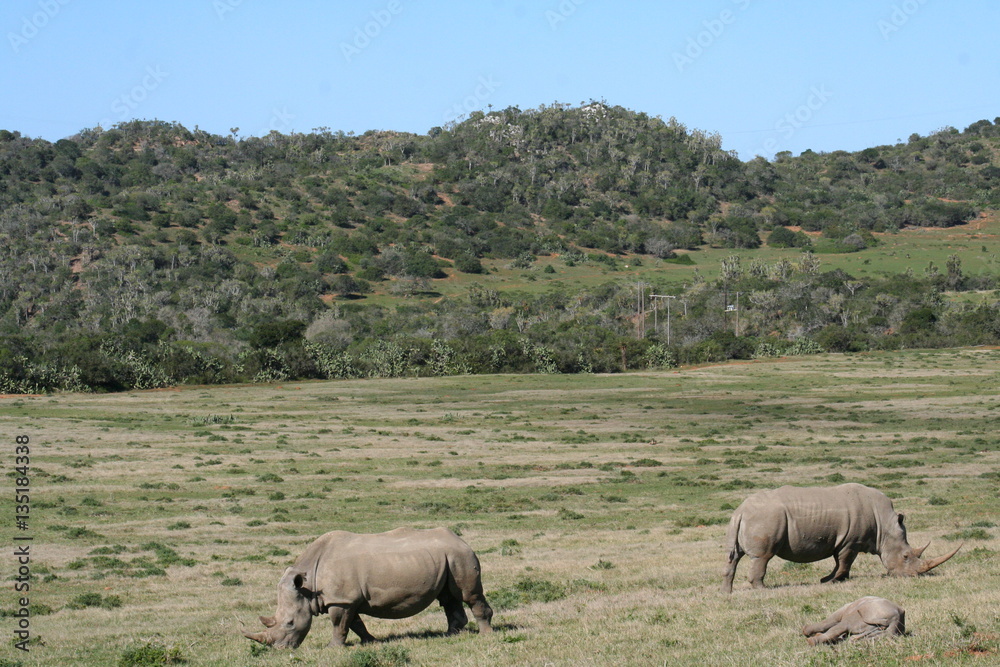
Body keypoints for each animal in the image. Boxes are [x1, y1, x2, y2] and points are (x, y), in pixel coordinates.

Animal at [243, 527, 494, 648]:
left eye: (290, 623)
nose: (280, 649)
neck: (308, 584)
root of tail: (460, 539)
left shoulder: (340, 600)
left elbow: (339, 625)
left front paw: (333, 648)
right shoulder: (347, 599)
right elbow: (355, 624)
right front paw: (370, 642)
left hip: (460, 556)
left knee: (469, 595)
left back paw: (485, 635)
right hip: (447, 557)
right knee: (449, 598)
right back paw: (450, 634)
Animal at [722, 483, 961, 593]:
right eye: (906, 556)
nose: (912, 577)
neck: (884, 525)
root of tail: (740, 510)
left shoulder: (843, 541)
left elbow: (838, 561)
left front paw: (826, 580)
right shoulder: (851, 542)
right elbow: (845, 562)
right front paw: (834, 581)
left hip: (745, 520)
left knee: (734, 556)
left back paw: (727, 593)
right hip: (766, 517)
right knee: (762, 557)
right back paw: (763, 589)